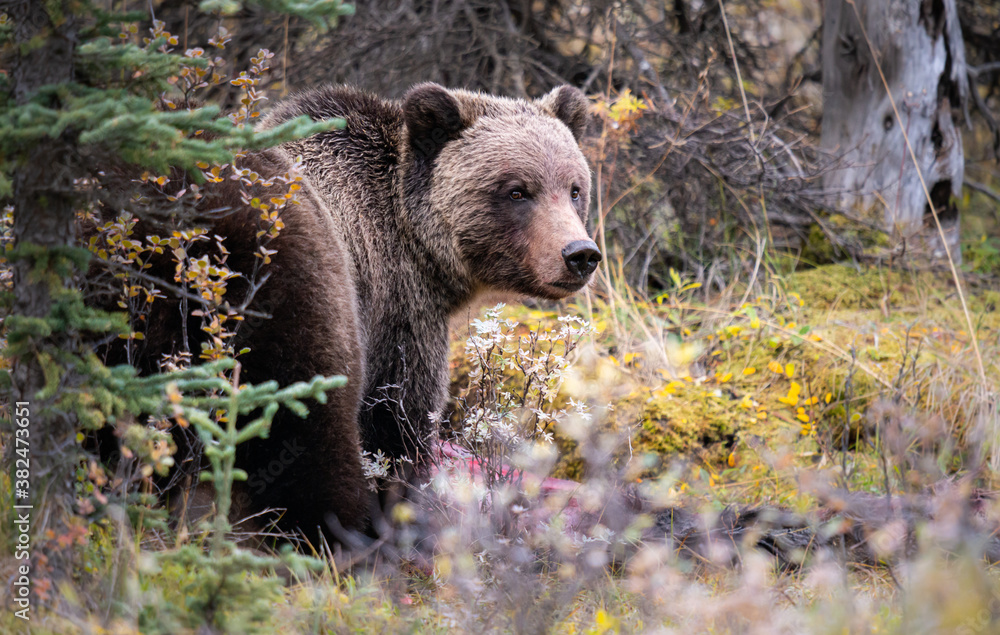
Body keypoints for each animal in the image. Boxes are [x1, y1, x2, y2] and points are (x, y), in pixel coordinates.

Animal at [97, 83, 596, 540]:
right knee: (309, 423)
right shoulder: (396, 305)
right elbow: (394, 421)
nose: (580, 254)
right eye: (516, 190)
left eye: (574, 188)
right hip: (295, 275)